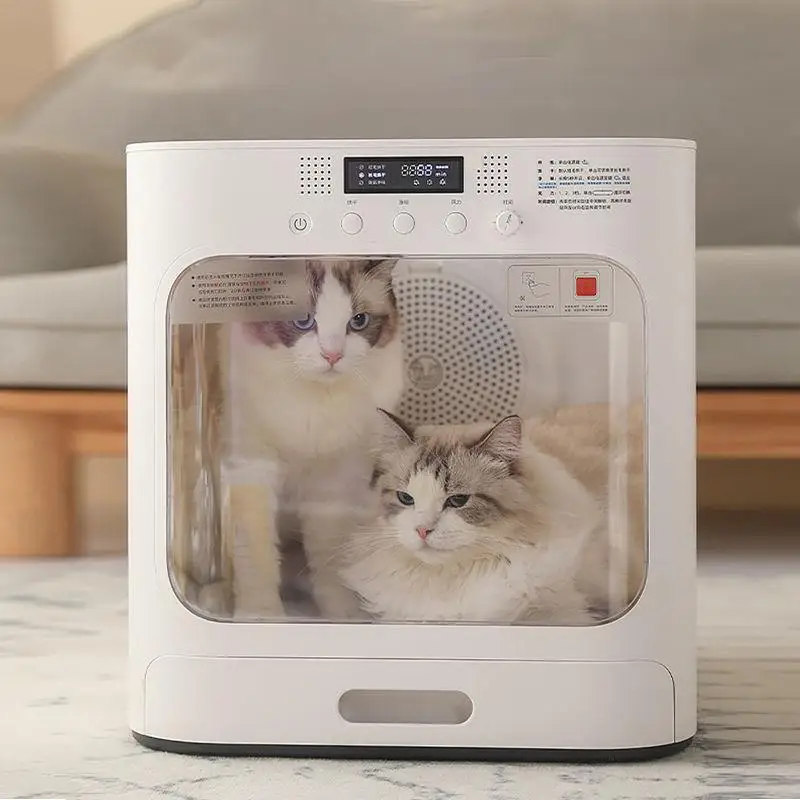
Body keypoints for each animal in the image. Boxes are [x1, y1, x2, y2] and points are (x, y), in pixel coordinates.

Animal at [208, 258, 405, 619]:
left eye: (358, 321)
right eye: (303, 320)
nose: (332, 355)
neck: (314, 406)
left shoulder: (331, 485)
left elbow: (328, 560)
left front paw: (341, 617)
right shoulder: (252, 469)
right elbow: (256, 557)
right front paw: (261, 616)